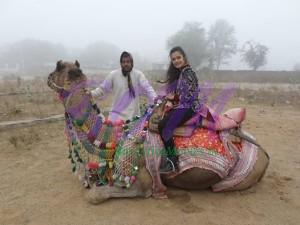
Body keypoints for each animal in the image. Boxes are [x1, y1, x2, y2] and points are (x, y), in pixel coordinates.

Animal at [47, 60, 270, 204]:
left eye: (58, 67)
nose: (48, 77)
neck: (116, 136)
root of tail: (265, 155)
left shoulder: (142, 181)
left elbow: (94, 195)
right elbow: (93, 178)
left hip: (236, 179)